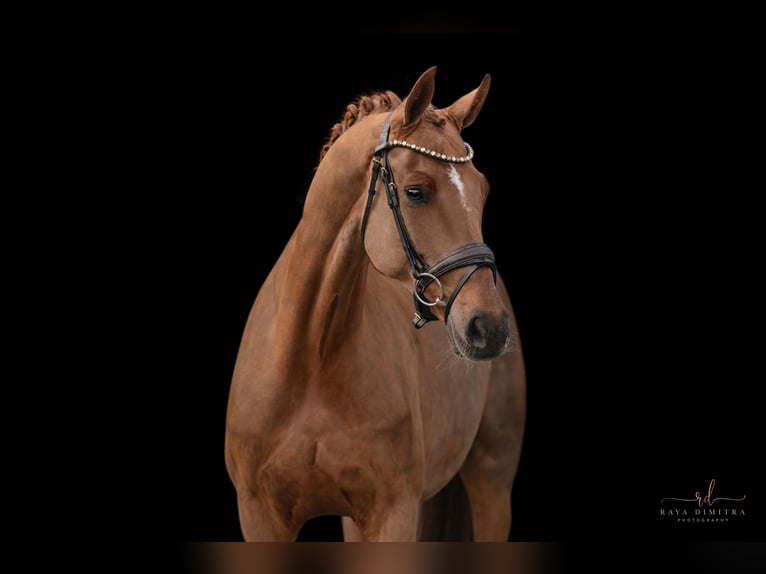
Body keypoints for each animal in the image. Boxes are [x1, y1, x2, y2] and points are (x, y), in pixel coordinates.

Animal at [224, 67, 528, 544]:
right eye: (416, 192)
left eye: (483, 192)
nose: (489, 327)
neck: (311, 358)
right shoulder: (259, 515)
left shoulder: (393, 513)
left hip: (491, 482)